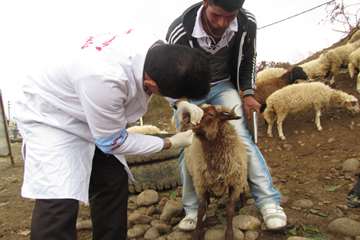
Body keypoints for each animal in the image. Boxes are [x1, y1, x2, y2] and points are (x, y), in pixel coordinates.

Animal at [183, 104, 248, 240]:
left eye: (211, 114)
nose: (188, 121)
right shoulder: (201, 185)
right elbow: (201, 210)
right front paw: (197, 232)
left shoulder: (235, 183)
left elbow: (230, 209)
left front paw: (229, 234)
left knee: (244, 190)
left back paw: (243, 204)